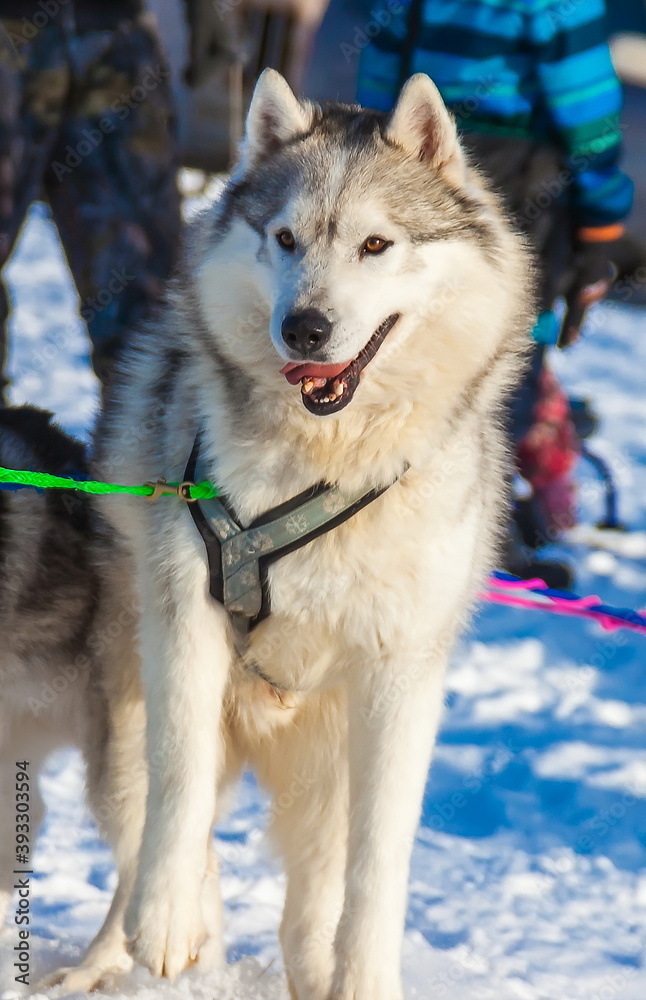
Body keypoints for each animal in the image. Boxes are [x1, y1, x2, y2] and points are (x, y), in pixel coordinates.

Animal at [57, 72, 536, 1000]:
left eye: (376, 244)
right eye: (284, 238)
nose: (306, 328)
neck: (326, 465)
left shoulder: (401, 677)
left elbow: (378, 857)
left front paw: (366, 976)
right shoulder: (186, 621)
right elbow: (180, 784)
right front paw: (168, 923)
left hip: (324, 761)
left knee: (311, 896)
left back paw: (317, 969)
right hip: (127, 726)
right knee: (145, 842)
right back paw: (116, 956)